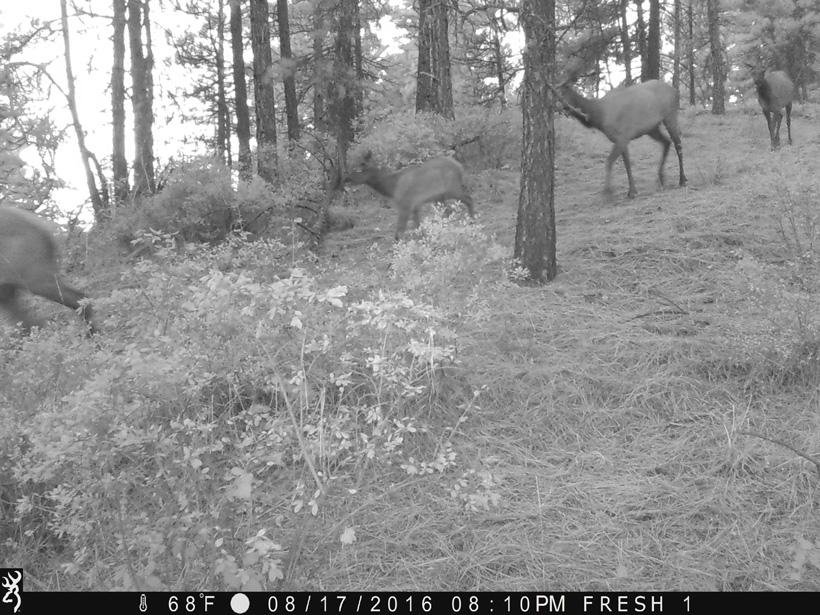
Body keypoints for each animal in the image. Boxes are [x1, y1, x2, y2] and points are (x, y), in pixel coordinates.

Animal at [345, 151, 474, 240]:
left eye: (357, 168)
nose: (346, 178)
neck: (391, 188)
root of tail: (460, 167)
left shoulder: (405, 205)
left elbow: (399, 232)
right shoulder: (415, 206)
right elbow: (418, 226)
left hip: (452, 189)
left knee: (469, 199)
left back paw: (472, 220)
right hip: (440, 197)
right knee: (447, 212)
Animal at [558, 79, 687, 199]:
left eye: (564, 93)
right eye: (557, 95)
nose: (563, 108)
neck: (599, 116)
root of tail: (675, 91)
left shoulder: (622, 137)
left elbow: (609, 161)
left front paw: (608, 192)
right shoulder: (622, 139)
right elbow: (627, 164)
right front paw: (632, 191)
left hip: (670, 115)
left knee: (678, 144)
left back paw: (682, 179)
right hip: (652, 128)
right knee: (666, 142)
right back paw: (661, 178)